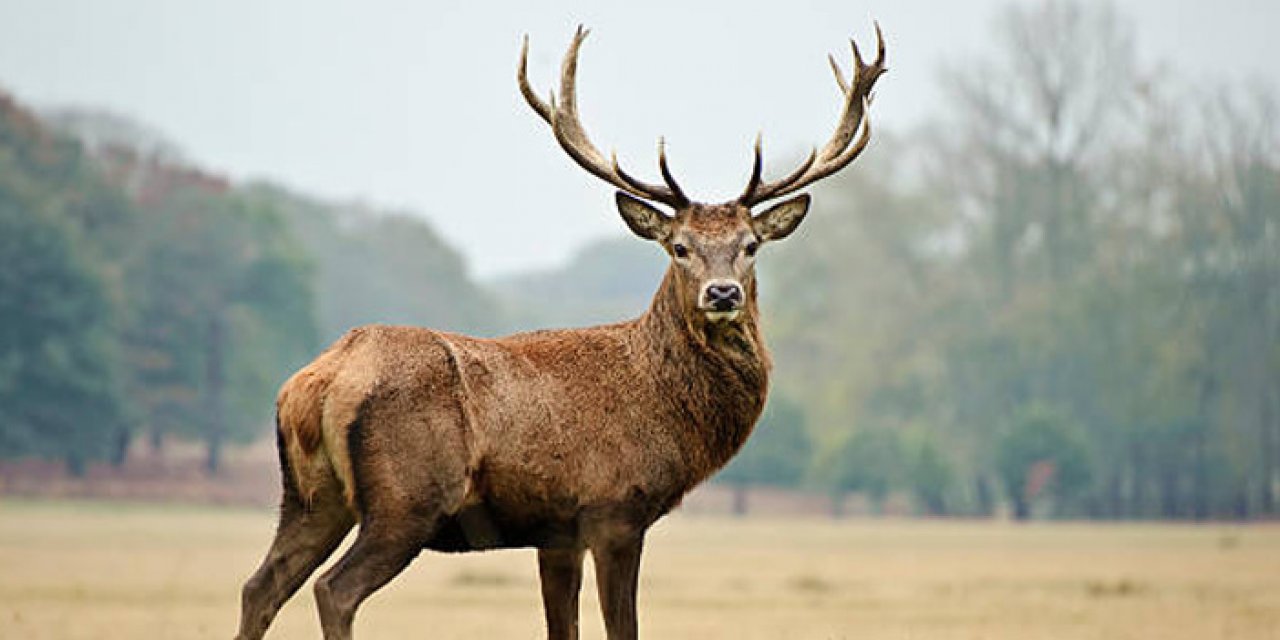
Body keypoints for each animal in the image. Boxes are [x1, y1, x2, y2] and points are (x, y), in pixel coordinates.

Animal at [235, 22, 885, 637]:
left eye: (750, 245)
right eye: (679, 247)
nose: (722, 293)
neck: (664, 408)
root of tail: (315, 382)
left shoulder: (556, 532)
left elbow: (561, 627)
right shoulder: (614, 509)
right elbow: (623, 628)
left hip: (310, 497)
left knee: (260, 585)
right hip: (407, 498)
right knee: (333, 590)